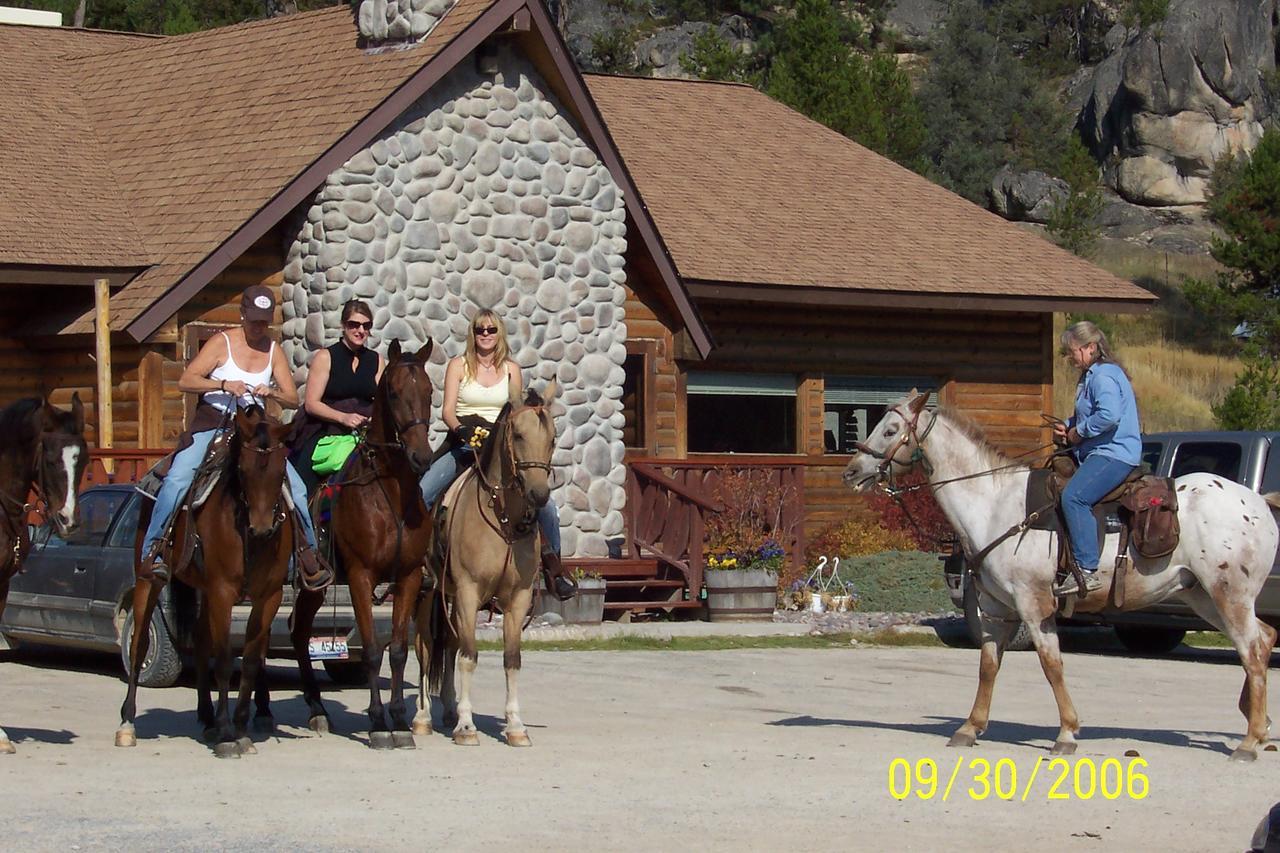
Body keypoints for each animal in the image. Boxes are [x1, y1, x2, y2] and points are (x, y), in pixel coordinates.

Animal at [114, 402, 294, 753]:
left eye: (281, 472)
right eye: (243, 471)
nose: (262, 529)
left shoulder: (269, 595)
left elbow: (250, 660)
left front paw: (240, 729)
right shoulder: (223, 590)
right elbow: (223, 660)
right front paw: (227, 734)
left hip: (206, 591)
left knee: (199, 640)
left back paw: (207, 719)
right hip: (149, 579)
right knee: (139, 644)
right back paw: (127, 723)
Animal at [286, 338, 435, 742]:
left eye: (430, 392)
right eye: (395, 393)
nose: (421, 457)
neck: (390, 494)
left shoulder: (408, 577)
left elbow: (397, 650)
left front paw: (399, 719)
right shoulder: (359, 576)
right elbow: (369, 650)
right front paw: (378, 723)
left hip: (315, 588)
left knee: (298, 632)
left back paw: (317, 709)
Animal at [417, 381, 558, 742]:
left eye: (552, 438)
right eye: (518, 435)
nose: (539, 495)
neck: (504, 518)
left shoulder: (518, 598)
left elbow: (511, 659)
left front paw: (516, 726)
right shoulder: (469, 591)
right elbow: (469, 655)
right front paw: (467, 726)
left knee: (449, 644)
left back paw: (448, 708)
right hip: (424, 593)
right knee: (424, 647)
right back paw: (422, 717)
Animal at [839, 389, 1280, 758]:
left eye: (890, 429)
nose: (853, 471)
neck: (995, 504)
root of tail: (1258, 501)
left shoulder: (1033, 604)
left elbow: (1051, 665)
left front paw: (1066, 733)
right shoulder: (995, 609)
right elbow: (988, 666)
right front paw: (969, 727)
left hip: (1228, 594)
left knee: (1251, 650)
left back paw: (1249, 741)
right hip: (1202, 595)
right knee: (1262, 640)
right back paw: (1258, 727)